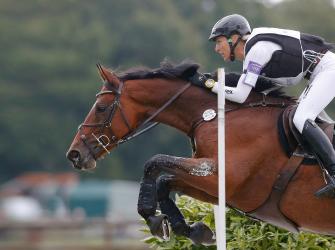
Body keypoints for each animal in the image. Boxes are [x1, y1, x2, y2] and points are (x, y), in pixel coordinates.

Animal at [67, 61, 335, 245]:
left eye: (101, 108)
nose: (74, 154)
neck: (214, 116)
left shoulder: (224, 177)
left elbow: (154, 162)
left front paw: (153, 220)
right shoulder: (214, 185)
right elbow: (165, 181)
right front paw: (194, 231)